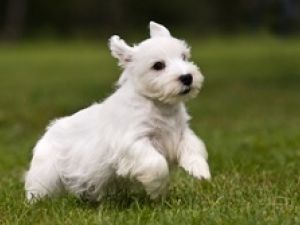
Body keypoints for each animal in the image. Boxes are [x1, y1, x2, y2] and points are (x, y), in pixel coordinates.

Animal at [25, 22, 211, 201]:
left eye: (184, 56)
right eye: (158, 65)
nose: (187, 77)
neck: (159, 105)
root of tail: (49, 129)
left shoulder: (181, 132)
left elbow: (193, 147)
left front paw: (200, 171)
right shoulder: (134, 143)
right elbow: (156, 163)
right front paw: (157, 190)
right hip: (46, 174)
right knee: (38, 189)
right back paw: (36, 202)